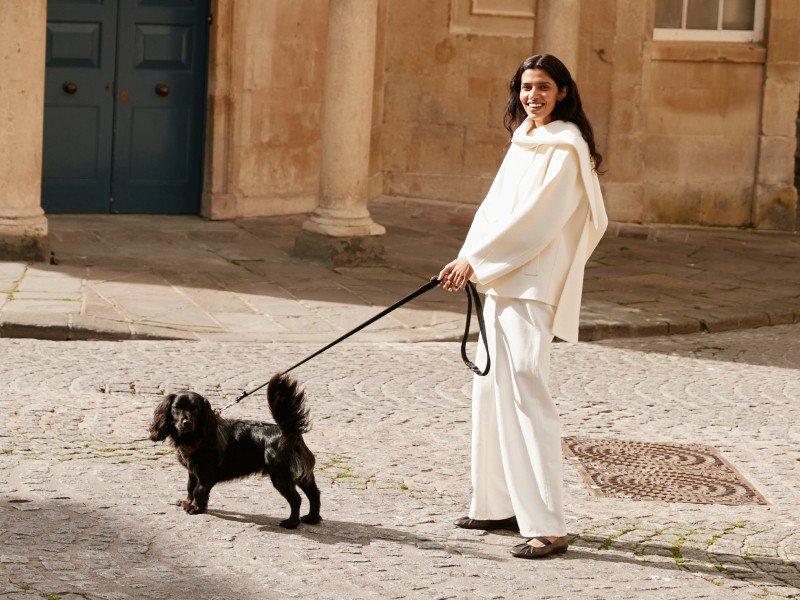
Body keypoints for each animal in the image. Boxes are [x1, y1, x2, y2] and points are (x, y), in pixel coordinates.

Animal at [148, 376, 320, 528]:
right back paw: (312, 518)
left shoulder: (206, 473)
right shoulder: (192, 471)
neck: (196, 437)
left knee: (296, 499)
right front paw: (190, 503)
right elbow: (190, 488)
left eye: (195, 409)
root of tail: (288, 433)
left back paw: (291, 523)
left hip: (280, 476)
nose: (186, 422)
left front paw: (195, 508)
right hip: (302, 475)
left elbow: (198, 490)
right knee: (314, 494)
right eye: (176, 409)